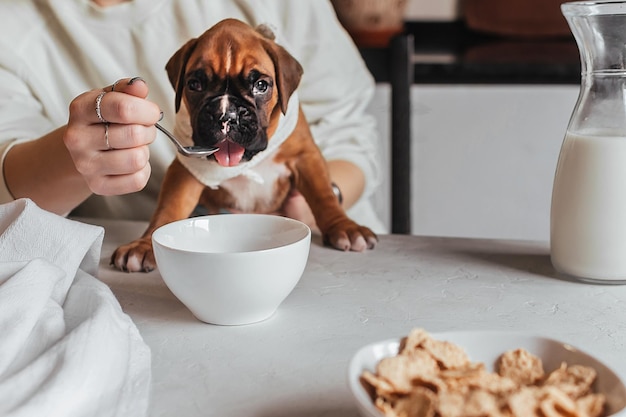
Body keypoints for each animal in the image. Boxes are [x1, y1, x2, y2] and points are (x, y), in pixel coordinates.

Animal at [111, 18, 376, 272]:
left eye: (261, 85)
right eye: (195, 84)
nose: (226, 115)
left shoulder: (305, 156)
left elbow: (323, 196)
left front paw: (345, 227)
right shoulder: (186, 169)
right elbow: (168, 208)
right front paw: (144, 244)